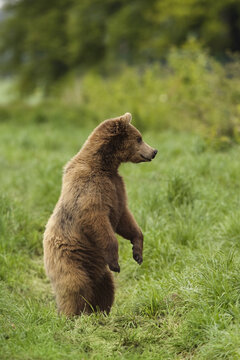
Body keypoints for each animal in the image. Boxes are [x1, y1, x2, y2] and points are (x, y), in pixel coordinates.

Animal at [43, 112, 158, 316]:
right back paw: (72, 315)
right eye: (139, 138)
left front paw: (138, 253)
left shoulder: (116, 189)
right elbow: (96, 220)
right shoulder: (90, 189)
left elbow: (125, 219)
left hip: (99, 271)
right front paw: (116, 262)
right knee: (75, 286)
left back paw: (99, 312)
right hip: (69, 259)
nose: (154, 151)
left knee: (106, 288)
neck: (105, 165)